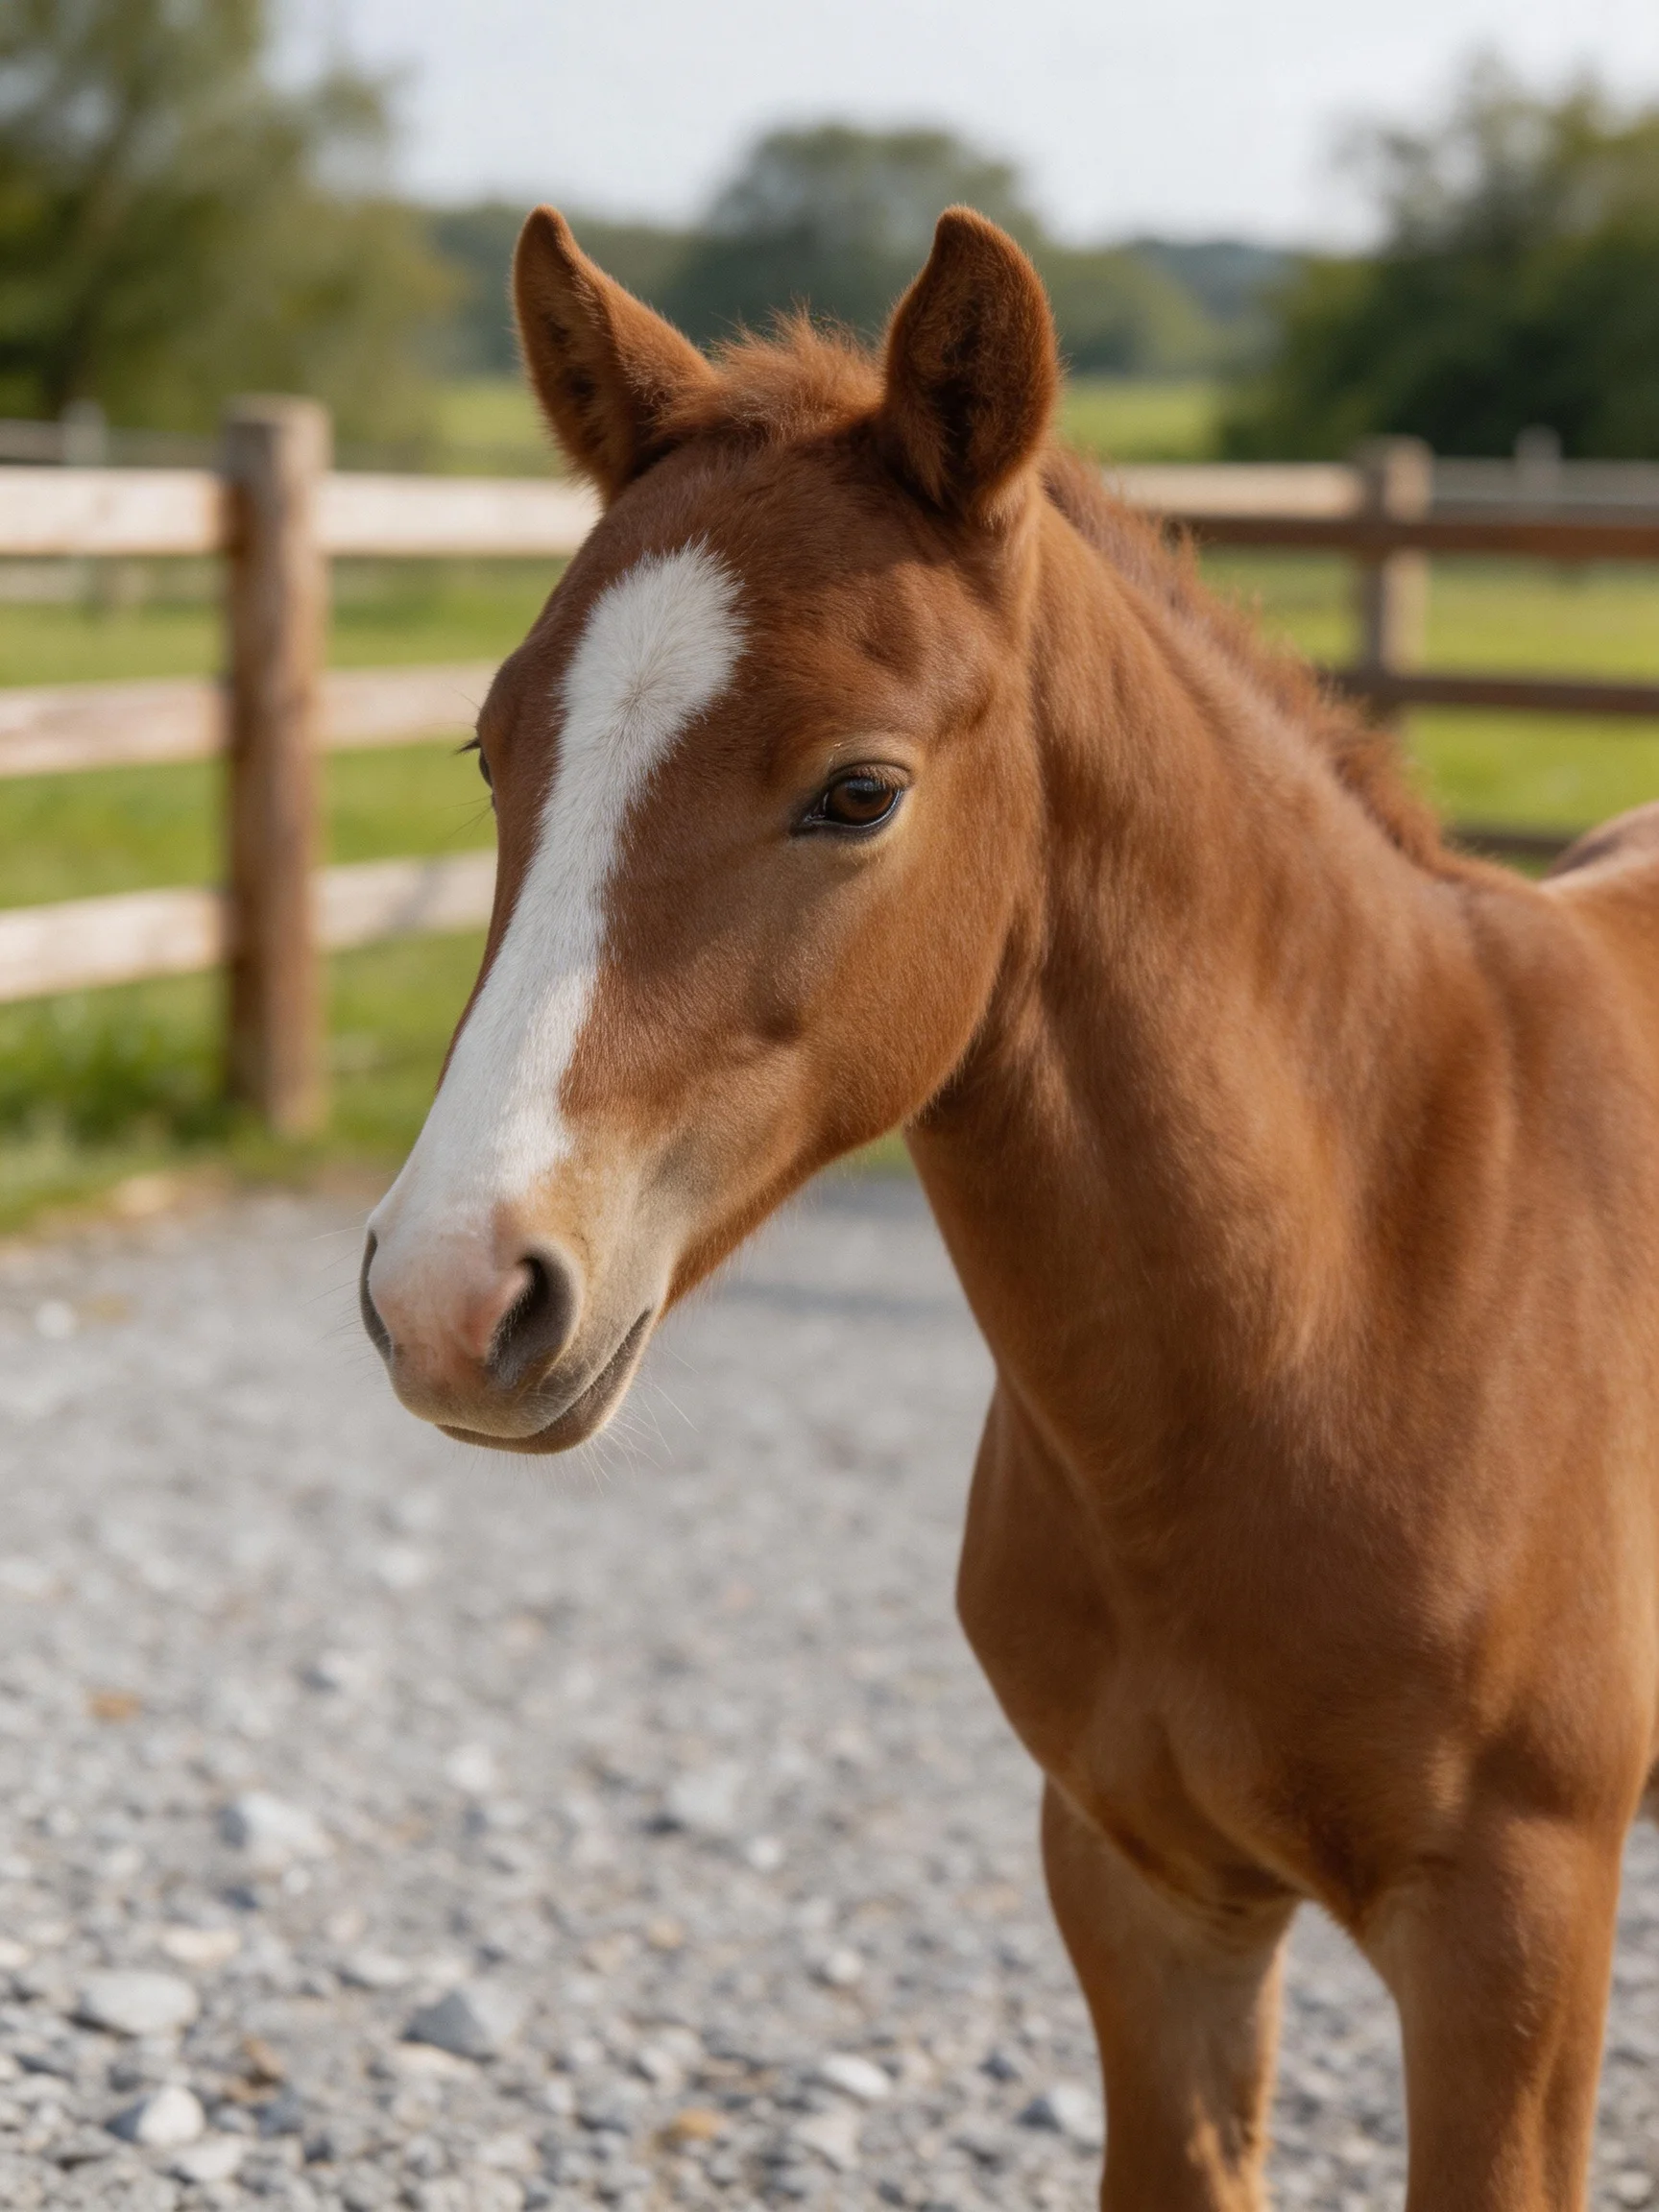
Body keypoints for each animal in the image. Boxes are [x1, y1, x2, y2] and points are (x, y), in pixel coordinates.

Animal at [360, 202, 1659, 2211]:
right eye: (494, 749)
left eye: (858, 788)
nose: (448, 1294)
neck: (1358, 1295)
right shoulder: (1140, 1885)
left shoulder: (1512, 1936)